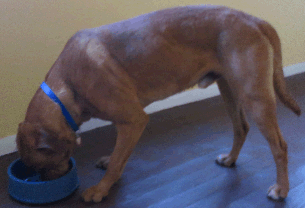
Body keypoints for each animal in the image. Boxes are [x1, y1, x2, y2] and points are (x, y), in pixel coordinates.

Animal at [16, 5, 300, 203]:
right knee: (241, 127)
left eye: (42, 165)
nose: (45, 181)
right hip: (230, 90)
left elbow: (118, 160)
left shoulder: (134, 120)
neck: (65, 89)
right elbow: (119, 153)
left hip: (255, 96)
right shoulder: (126, 124)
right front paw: (109, 164)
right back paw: (230, 159)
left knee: (280, 146)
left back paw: (281, 189)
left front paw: (101, 188)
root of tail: (255, 20)